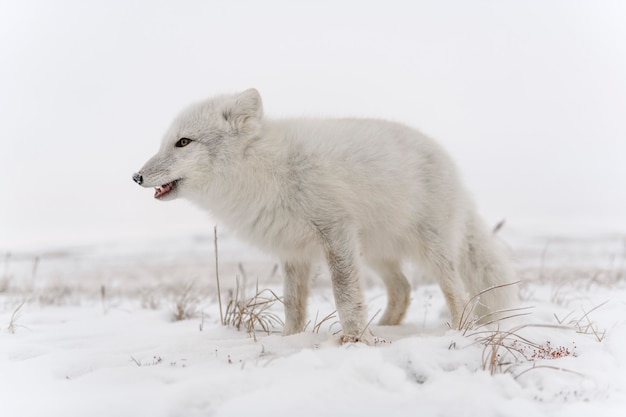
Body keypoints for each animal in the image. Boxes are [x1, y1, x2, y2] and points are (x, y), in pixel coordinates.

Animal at [134, 89, 516, 342]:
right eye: (166, 142)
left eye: (184, 142)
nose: (135, 177)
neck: (265, 170)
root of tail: (448, 161)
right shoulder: (292, 251)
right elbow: (293, 303)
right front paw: (290, 339)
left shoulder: (335, 230)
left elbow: (345, 296)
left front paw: (354, 340)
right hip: (375, 254)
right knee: (403, 289)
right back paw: (387, 328)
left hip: (431, 249)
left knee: (458, 292)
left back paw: (461, 330)